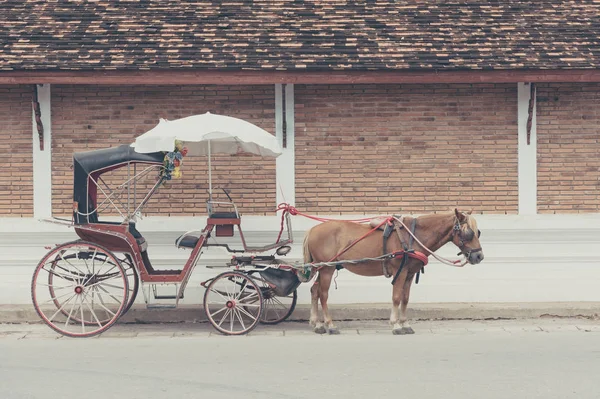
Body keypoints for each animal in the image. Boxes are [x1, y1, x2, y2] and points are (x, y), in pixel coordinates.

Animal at [302, 208, 486, 336]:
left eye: (478, 232)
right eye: (468, 232)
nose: (479, 256)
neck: (414, 235)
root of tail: (312, 230)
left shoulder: (410, 274)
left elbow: (405, 298)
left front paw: (405, 324)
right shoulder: (401, 270)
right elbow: (397, 297)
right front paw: (396, 325)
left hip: (321, 268)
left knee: (314, 291)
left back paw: (317, 324)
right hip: (327, 268)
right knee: (323, 294)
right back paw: (330, 324)